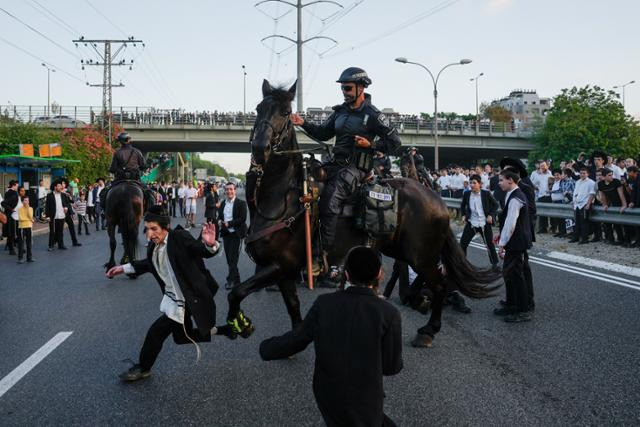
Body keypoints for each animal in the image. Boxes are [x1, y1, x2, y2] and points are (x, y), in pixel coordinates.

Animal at [225, 80, 500, 348]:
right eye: (258, 109)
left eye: (284, 112)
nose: (259, 148)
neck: (282, 198)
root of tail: (435, 197)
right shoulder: (281, 269)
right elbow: (291, 307)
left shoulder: (281, 265)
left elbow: (236, 292)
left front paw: (239, 324)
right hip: (401, 249)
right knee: (424, 276)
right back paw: (416, 300)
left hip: (421, 253)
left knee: (440, 283)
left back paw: (428, 328)